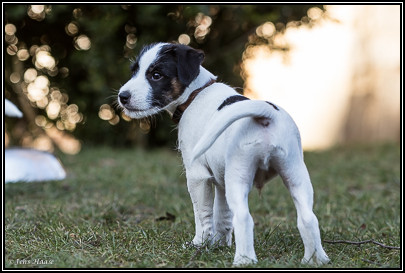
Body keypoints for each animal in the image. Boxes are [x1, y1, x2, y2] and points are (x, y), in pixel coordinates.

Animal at [116, 43, 328, 266]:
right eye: (134, 71)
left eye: (156, 75)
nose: (123, 96)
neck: (196, 93)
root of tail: (264, 115)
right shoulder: (220, 180)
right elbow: (222, 216)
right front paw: (219, 244)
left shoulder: (198, 176)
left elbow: (203, 215)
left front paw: (199, 244)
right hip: (294, 172)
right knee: (308, 217)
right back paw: (315, 259)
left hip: (239, 175)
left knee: (243, 217)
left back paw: (244, 260)